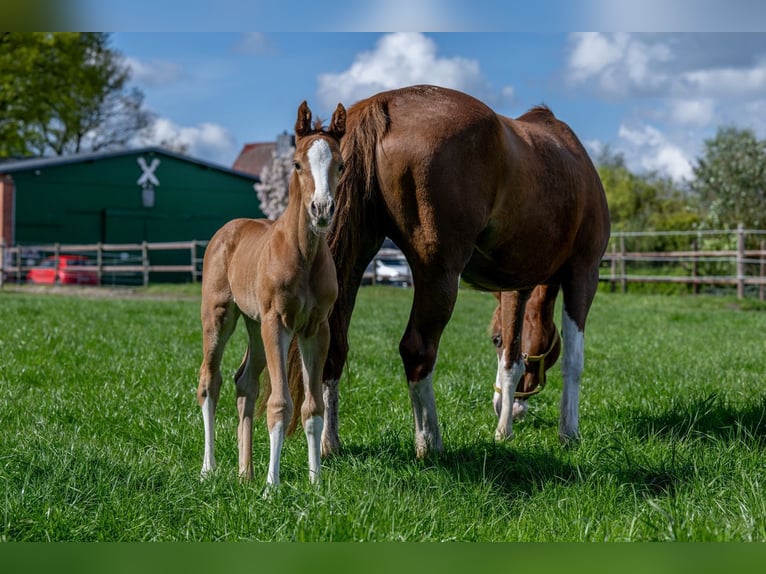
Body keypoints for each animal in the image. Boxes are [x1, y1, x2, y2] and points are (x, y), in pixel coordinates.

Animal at [198, 101, 344, 488]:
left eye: (340, 165)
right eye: (296, 164)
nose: (321, 210)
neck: (303, 255)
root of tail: (228, 230)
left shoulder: (315, 329)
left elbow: (312, 408)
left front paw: (316, 484)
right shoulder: (277, 323)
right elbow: (280, 404)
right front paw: (271, 486)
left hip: (255, 326)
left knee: (244, 382)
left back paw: (244, 473)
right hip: (221, 317)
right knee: (210, 381)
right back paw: (209, 468)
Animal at [294, 85, 612, 462]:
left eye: (494, 339)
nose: (506, 406)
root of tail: (385, 103)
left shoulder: (516, 285)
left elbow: (512, 359)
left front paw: (504, 429)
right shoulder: (584, 273)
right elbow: (573, 361)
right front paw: (568, 434)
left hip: (354, 259)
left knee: (334, 345)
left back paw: (330, 442)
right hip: (439, 274)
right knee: (417, 349)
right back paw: (429, 442)